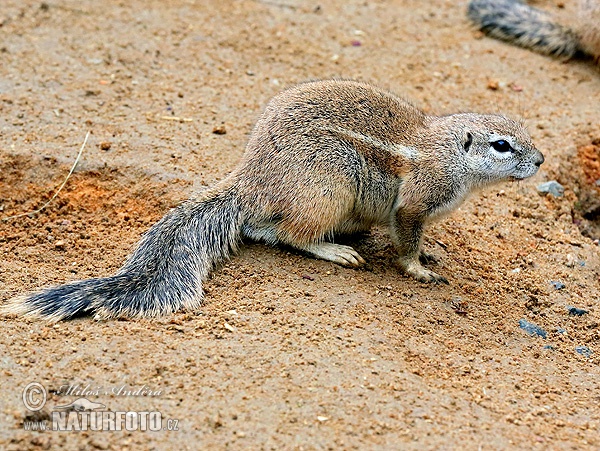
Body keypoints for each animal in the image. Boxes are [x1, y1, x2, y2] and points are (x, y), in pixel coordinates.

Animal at [3, 81, 544, 322]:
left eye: (526, 130)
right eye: (502, 145)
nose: (540, 159)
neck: (450, 153)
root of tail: (251, 181)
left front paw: (429, 254)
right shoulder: (415, 199)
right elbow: (407, 234)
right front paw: (417, 268)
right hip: (327, 188)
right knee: (287, 234)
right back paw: (335, 250)